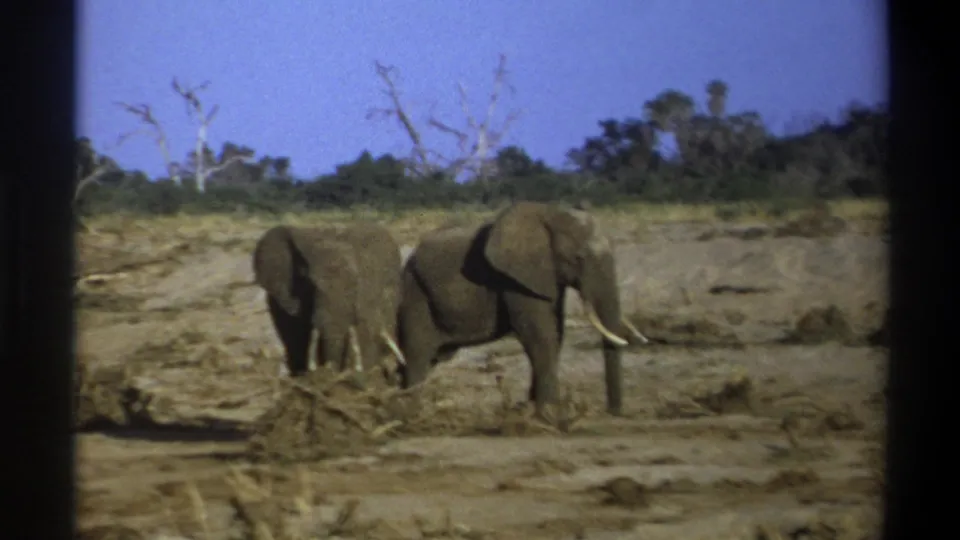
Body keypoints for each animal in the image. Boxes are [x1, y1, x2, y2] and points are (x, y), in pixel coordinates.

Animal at [396, 201, 648, 417]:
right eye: (579, 258)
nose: (613, 412)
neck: (551, 213)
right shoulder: (516, 278)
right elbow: (539, 334)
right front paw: (549, 414)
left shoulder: (544, 277)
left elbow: (556, 332)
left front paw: (533, 409)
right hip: (416, 294)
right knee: (418, 354)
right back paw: (412, 413)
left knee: (428, 359)